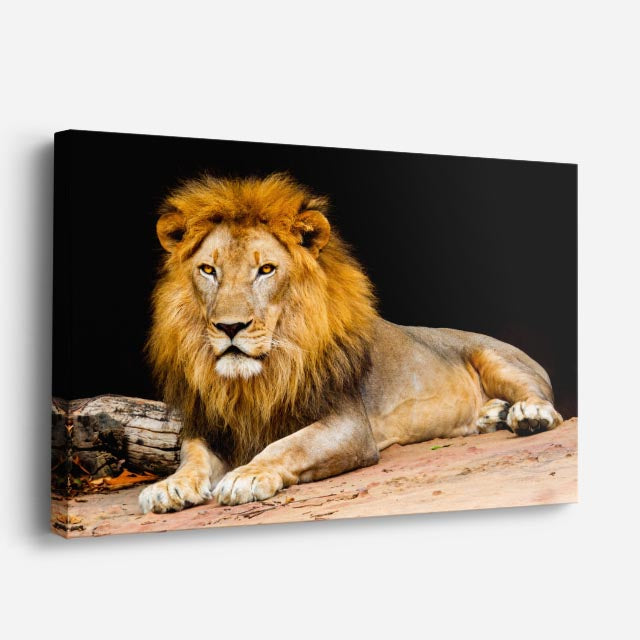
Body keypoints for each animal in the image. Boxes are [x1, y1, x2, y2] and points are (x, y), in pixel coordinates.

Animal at [139, 173, 563, 514]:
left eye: (266, 269)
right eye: (208, 270)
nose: (230, 327)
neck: (259, 379)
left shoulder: (349, 425)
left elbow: (289, 445)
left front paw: (248, 475)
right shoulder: (212, 426)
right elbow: (190, 456)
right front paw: (168, 487)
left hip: (496, 357)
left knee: (542, 397)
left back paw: (526, 415)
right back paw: (491, 415)